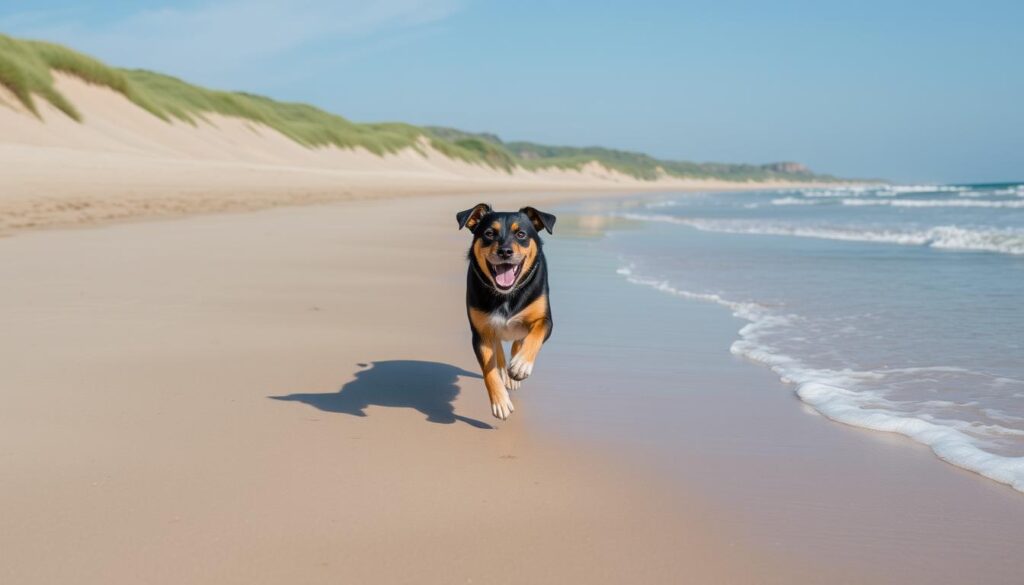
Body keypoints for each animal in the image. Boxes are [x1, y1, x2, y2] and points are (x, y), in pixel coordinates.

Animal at [456, 203, 557, 418]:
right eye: (488, 233)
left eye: (521, 234)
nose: (505, 251)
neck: (506, 294)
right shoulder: (480, 332)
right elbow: (489, 369)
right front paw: (500, 401)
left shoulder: (545, 320)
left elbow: (534, 336)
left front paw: (521, 365)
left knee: (519, 340)